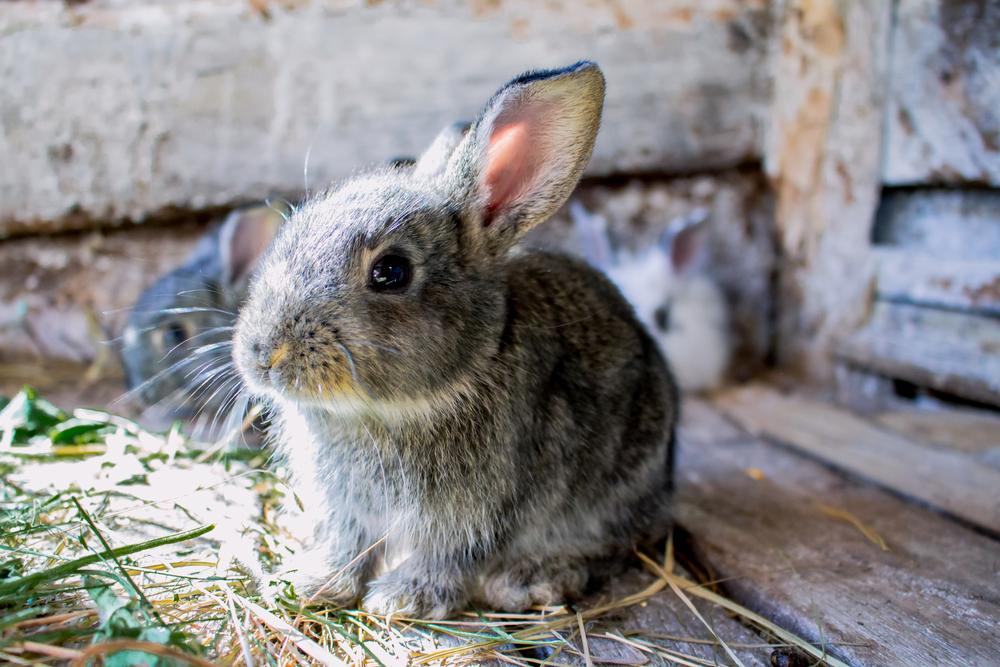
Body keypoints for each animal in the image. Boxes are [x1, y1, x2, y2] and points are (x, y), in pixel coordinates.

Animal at [230, 62, 676, 620]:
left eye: (391, 271)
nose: (263, 355)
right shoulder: (348, 509)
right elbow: (346, 545)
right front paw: (312, 582)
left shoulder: (481, 512)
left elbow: (449, 556)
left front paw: (404, 598)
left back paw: (530, 581)